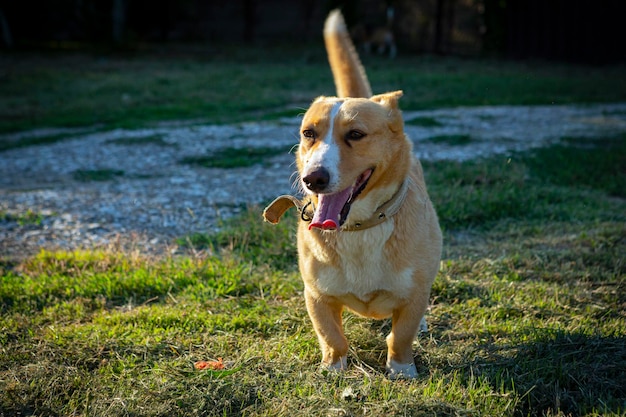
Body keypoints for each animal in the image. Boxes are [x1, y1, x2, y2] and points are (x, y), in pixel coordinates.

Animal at [260, 8, 442, 380]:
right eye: (308, 134)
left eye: (356, 134)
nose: (313, 178)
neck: (358, 227)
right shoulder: (316, 296)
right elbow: (332, 336)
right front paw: (333, 369)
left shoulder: (413, 294)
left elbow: (400, 335)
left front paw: (401, 370)